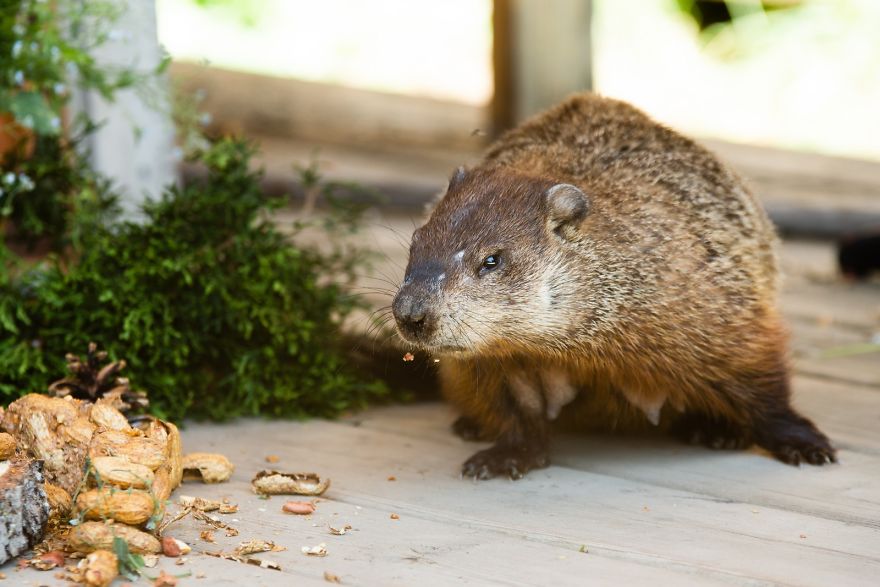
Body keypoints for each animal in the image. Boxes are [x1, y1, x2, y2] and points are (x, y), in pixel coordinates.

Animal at [391, 93, 836, 480]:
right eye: (416, 240)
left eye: (492, 260)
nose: (410, 313)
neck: (566, 347)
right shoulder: (498, 357)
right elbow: (513, 401)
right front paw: (505, 455)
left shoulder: (693, 296)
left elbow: (753, 365)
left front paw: (805, 442)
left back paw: (716, 430)